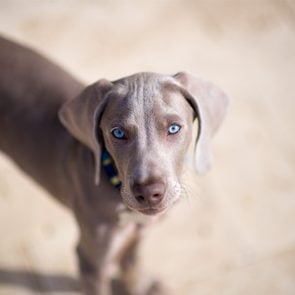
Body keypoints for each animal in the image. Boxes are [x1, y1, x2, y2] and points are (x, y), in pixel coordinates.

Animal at [0, 37, 229, 295]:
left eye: (173, 128)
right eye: (118, 133)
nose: (148, 193)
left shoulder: (138, 237)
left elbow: (132, 272)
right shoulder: (91, 263)